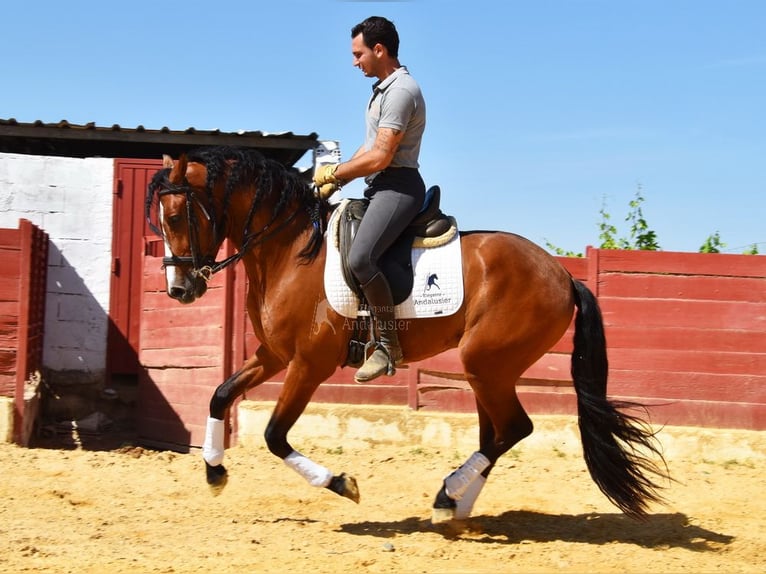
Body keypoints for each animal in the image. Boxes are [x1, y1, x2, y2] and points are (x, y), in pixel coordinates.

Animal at [147, 146, 668, 524]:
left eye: (174, 218)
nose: (179, 290)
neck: (290, 249)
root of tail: (562, 275)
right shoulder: (273, 355)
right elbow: (219, 394)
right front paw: (214, 471)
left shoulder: (309, 364)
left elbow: (275, 435)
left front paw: (342, 484)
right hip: (488, 370)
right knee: (496, 433)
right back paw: (455, 505)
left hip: (485, 362)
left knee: (513, 429)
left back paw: (448, 495)